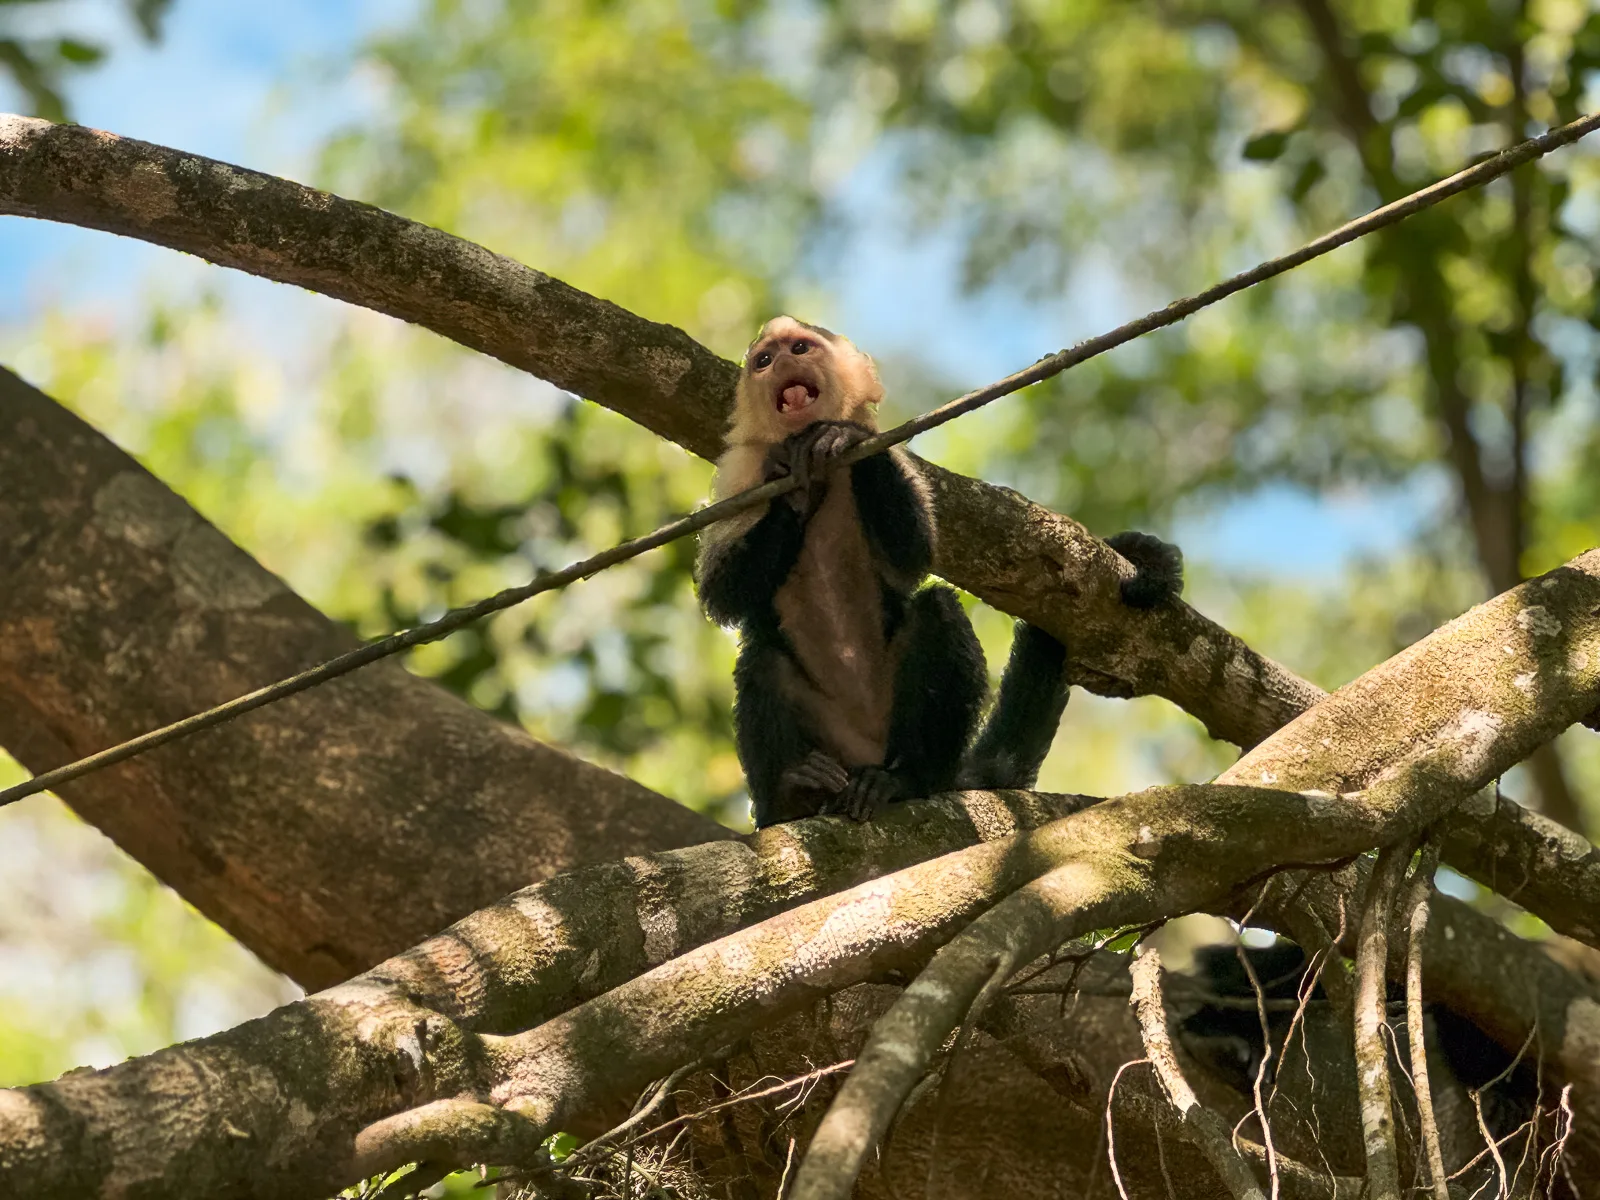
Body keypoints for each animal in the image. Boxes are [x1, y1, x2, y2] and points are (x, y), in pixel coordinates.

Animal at [695, 315, 1184, 829]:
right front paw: (792, 488)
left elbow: (911, 556)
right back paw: (792, 797)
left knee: (938, 611)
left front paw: (843, 439)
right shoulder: (739, 470)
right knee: (762, 659)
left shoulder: (890, 446)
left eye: (800, 348)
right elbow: (722, 596)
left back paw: (906, 780)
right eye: (764, 360)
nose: (780, 359)